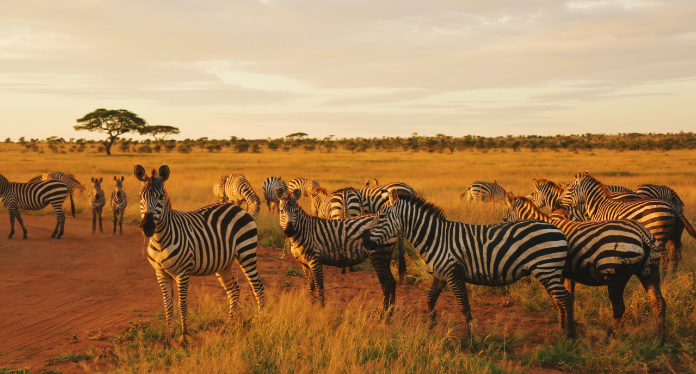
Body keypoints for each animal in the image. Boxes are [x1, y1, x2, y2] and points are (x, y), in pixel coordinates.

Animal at [135, 165, 266, 346]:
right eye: (140, 196)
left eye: (160, 197)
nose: (147, 228)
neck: (160, 240)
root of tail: (239, 209)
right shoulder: (160, 273)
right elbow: (167, 305)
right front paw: (168, 339)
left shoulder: (182, 272)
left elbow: (181, 305)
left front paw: (184, 339)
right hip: (223, 263)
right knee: (234, 289)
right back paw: (229, 325)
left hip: (247, 253)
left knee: (257, 287)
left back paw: (261, 321)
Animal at [274, 188, 402, 314]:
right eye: (281, 211)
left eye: (295, 211)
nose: (289, 231)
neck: (303, 232)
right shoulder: (304, 264)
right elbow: (311, 286)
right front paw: (311, 306)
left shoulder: (315, 261)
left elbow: (319, 286)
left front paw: (320, 310)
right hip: (385, 256)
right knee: (392, 282)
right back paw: (390, 311)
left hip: (378, 255)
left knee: (386, 283)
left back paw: (383, 313)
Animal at [364, 194, 576, 338]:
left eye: (380, 217)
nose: (366, 243)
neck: (436, 238)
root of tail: (558, 229)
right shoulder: (440, 275)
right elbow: (430, 300)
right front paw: (432, 327)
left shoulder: (453, 273)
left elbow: (463, 305)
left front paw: (473, 335)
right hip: (548, 271)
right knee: (559, 298)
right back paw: (562, 328)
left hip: (546, 269)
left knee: (565, 298)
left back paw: (570, 334)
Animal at [502, 193, 668, 342]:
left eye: (506, 217)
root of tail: (642, 232)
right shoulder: (568, 274)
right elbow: (568, 296)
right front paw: (569, 323)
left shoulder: (552, 271)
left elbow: (556, 299)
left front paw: (563, 326)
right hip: (650, 270)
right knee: (658, 301)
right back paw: (659, 339)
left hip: (615, 275)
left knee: (619, 307)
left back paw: (609, 336)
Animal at [560, 172, 696, 272]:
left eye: (570, 189)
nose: (558, 203)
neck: (598, 206)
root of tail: (673, 206)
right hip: (674, 236)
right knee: (675, 257)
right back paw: (672, 278)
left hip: (659, 234)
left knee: (666, 258)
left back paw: (664, 280)